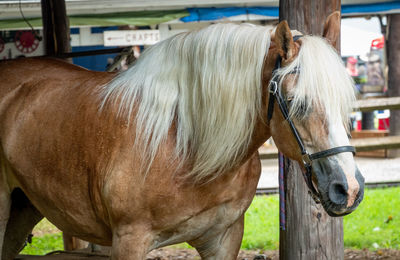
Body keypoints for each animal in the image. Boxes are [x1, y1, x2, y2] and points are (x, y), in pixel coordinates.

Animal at [0, 12, 364, 260]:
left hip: (22, 210)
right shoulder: (129, 241)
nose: (348, 189)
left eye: (346, 102)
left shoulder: (223, 239)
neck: (184, 143)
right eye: (296, 102)